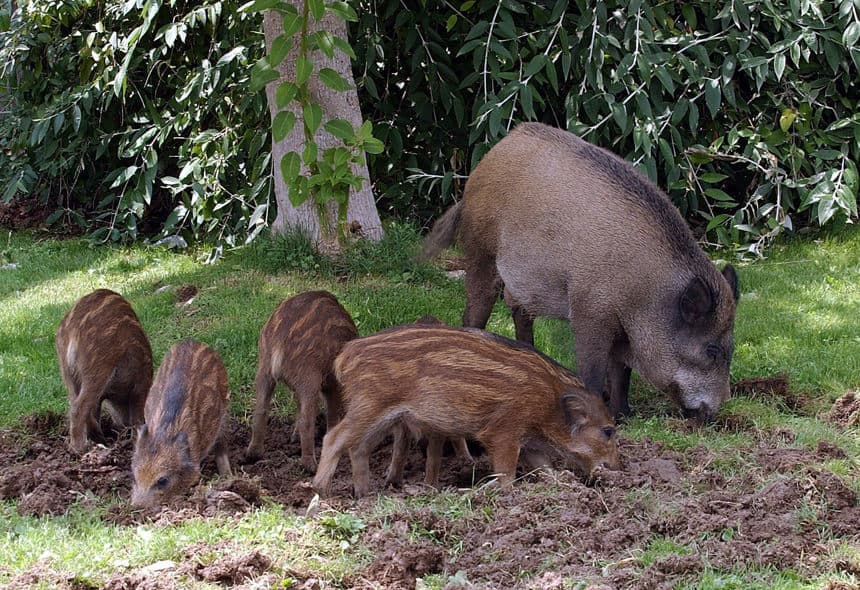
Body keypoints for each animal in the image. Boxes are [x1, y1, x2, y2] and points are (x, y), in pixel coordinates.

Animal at [56, 289, 153, 454]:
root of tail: (72, 329)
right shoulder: (141, 383)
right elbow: (137, 417)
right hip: (99, 365)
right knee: (78, 407)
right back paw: (81, 449)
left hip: (66, 372)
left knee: (75, 403)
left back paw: (99, 443)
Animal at [245, 290, 358, 472]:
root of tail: (278, 342)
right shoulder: (331, 383)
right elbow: (331, 413)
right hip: (308, 376)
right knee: (307, 420)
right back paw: (310, 466)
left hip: (263, 369)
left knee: (260, 410)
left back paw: (253, 455)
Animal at [312, 324, 619, 498]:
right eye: (608, 431)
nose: (616, 468)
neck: (550, 403)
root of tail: (345, 355)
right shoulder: (504, 429)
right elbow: (507, 471)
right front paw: (508, 493)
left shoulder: (528, 441)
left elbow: (545, 467)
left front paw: (564, 485)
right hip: (370, 403)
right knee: (334, 437)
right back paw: (320, 491)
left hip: (382, 415)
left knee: (358, 447)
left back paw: (364, 495)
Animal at [420, 122, 739, 421]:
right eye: (711, 349)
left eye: (732, 348)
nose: (718, 410)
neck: (644, 294)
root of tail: (489, 157)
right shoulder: (590, 310)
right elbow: (593, 367)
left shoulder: (622, 327)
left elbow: (621, 370)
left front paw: (623, 413)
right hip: (479, 250)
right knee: (475, 310)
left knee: (519, 312)